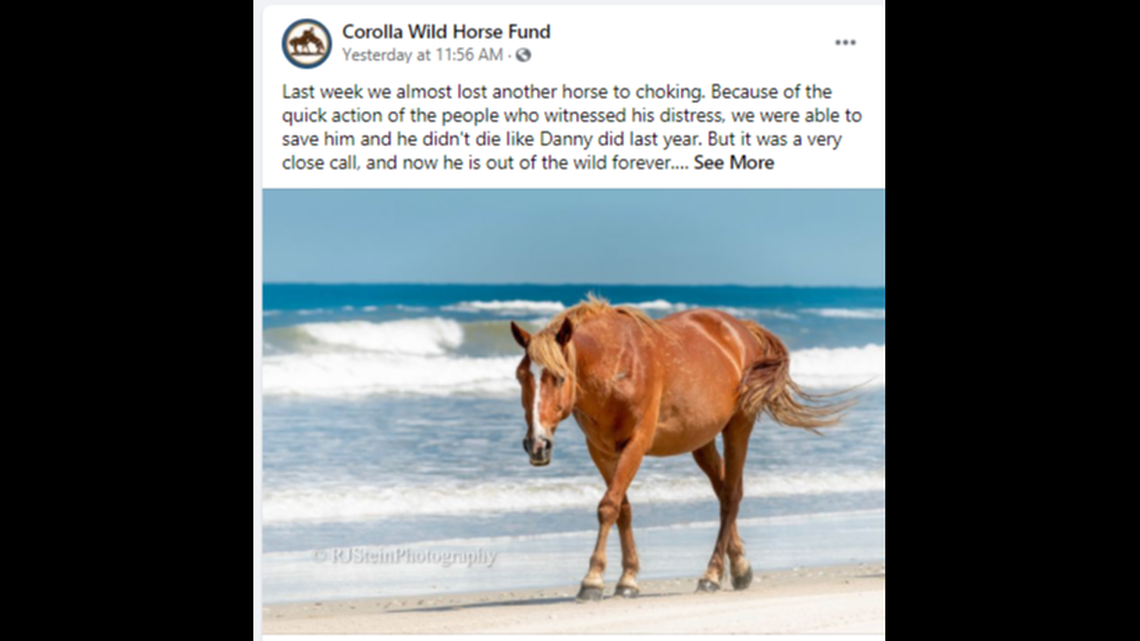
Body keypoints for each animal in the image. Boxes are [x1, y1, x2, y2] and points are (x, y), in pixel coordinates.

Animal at [510, 296, 851, 602]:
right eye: (520, 377)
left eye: (559, 377)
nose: (537, 445)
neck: (615, 364)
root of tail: (741, 328)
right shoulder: (601, 451)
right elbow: (622, 508)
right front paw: (628, 579)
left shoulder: (636, 444)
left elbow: (607, 506)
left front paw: (592, 580)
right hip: (701, 442)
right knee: (725, 489)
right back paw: (740, 567)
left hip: (739, 426)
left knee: (730, 496)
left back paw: (712, 575)